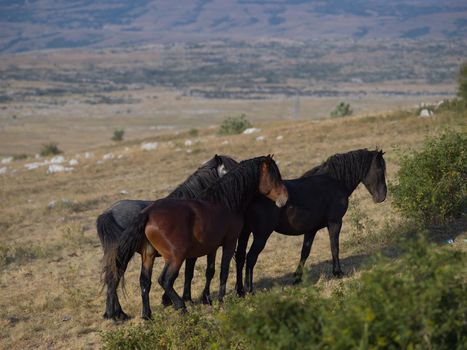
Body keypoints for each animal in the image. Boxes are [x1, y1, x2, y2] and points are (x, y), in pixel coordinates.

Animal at [97, 154, 239, 322]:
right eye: (229, 169)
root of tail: (108, 213)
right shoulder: (190, 253)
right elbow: (189, 273)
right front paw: (183, 299)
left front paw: (170, 300)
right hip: (123, 254)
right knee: (114, 278)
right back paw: (116, 314)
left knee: (112, 278)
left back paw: (114, 313)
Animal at [108, 154, 288, 316]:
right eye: (274, 176)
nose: (285, 198)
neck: (224, 202)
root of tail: (147, 214)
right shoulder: (230, 242)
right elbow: (223, 271)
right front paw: (221, 300)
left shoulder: (212, 247)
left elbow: (210, 271)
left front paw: (206, 298)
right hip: (175, 257)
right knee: (165, 280)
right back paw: (180, 307)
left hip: (148, 256)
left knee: (145, 282)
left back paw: (147, 315)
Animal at [234, 148, 388, 296]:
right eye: (379, 169)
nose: (382, 197)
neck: (334, 182)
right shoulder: (335, 222)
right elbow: (334, 247)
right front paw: (337, 272)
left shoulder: (311, 230)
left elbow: (305, 252)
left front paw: (297, 278)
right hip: (261, 235)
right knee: (251, 257)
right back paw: (249, 289)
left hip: (245, 233)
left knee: (240, 257)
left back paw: (239, 290)